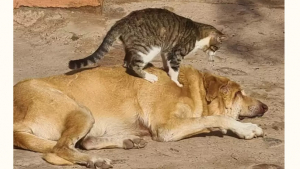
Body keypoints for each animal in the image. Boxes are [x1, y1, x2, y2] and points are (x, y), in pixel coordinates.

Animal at [13, 65, 268, 168]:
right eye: (239, 93)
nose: (266, 106)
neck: (190, 88)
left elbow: (208, 120)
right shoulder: (166, 129)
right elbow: (216, 118)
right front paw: (244, 129)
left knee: (83, 143)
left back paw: (126, 140)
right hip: (81, 111)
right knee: (60, 149)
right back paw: (95, 160)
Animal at [69, 7, 226, 87]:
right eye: (216, 48)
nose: (213, 57)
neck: (198, 32)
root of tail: (122, 21)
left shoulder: (167, 50)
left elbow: (167, 63)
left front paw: (166, 70)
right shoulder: (176, 53)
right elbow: (175, 69)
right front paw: (176, 81)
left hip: (135, 47)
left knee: (126, 62)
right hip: (148, 49)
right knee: (133, 65)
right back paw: (149, 77)